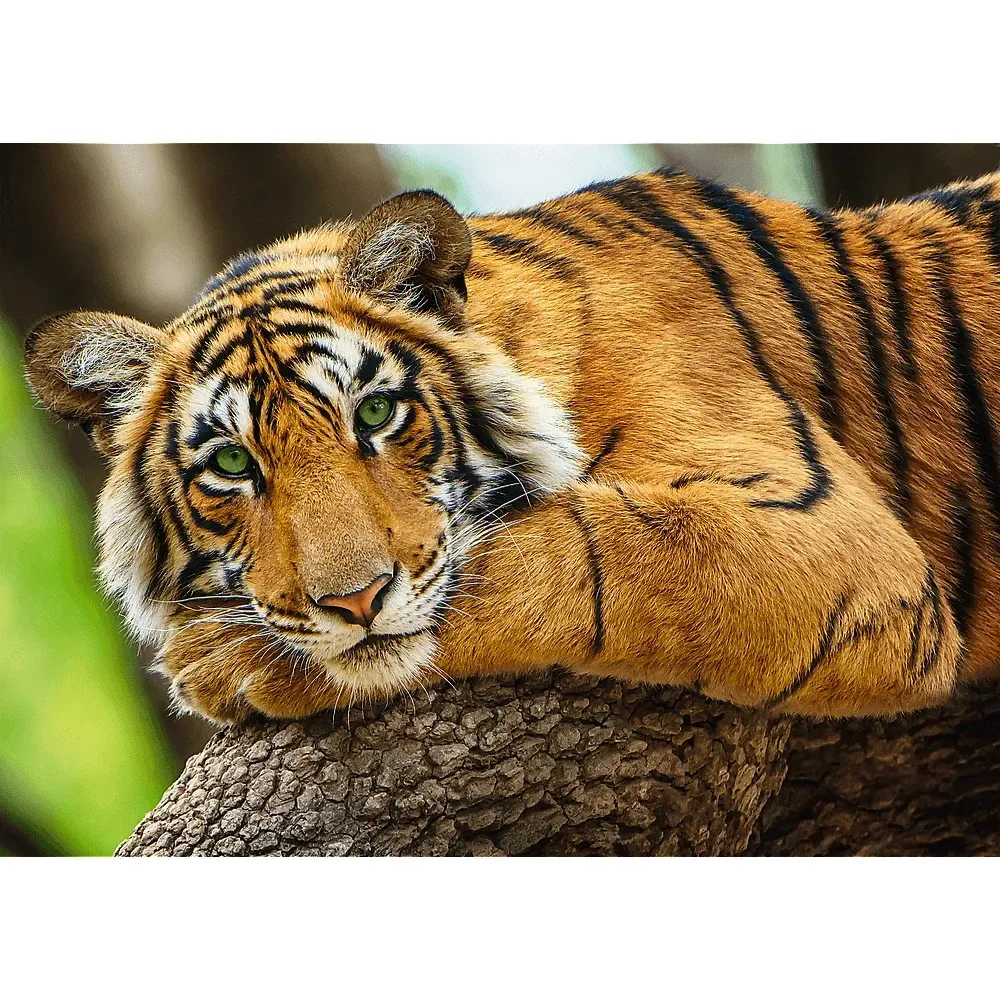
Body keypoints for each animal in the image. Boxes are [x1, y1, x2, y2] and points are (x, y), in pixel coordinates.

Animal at [23, 166, 1000, 725]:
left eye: (376, 414)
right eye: (231, 464)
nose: (355, 602)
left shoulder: (833, 539)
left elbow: (577, 552)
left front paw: (223, 660)